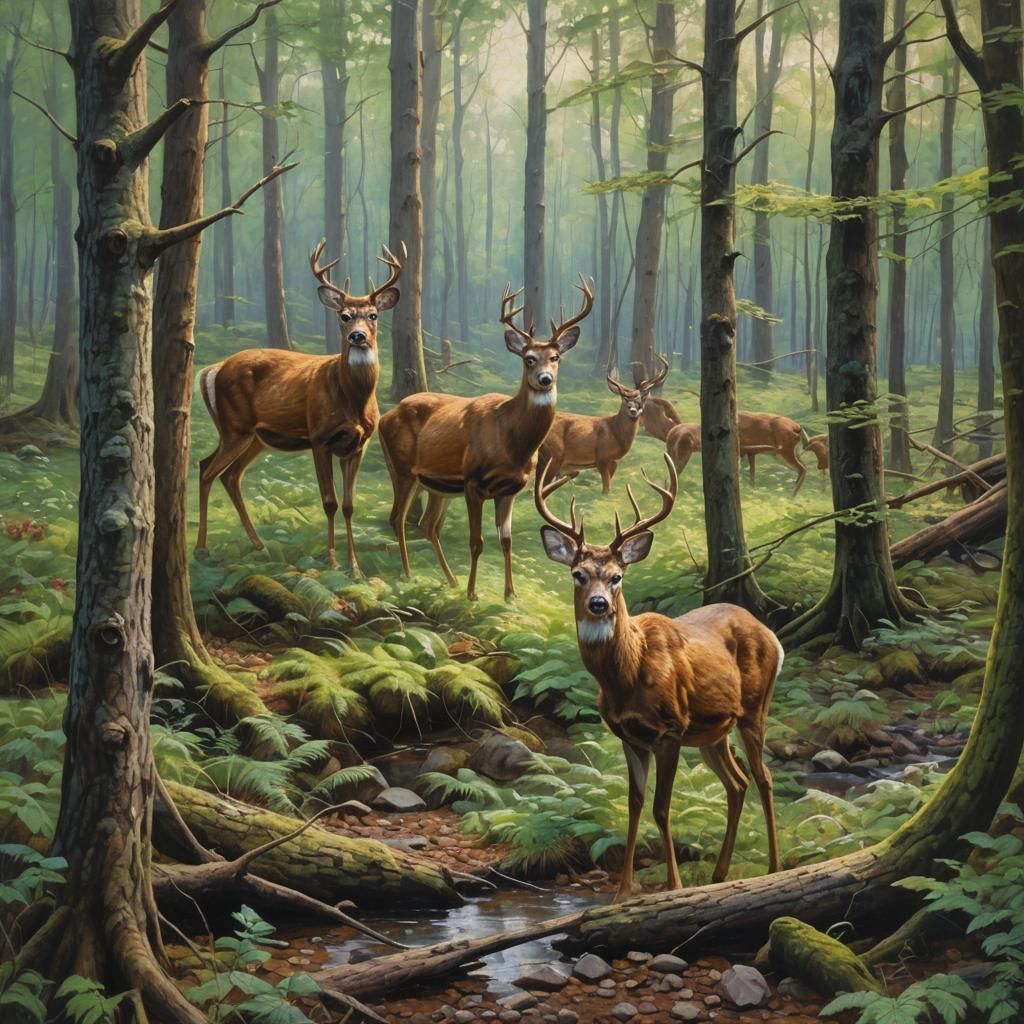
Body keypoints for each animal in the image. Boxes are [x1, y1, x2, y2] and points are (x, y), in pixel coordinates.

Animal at [195, 241, 404, 574]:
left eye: (373, 315)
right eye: (344, 315)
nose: (357, 336)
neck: (353, 400)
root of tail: (212, 370)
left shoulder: (359, 445)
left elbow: (349, 505)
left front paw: (355, 566)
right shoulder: (319, 437)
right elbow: (329, 502)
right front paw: (333, 561)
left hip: (256, 438)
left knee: (229, 475)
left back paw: (258, 544)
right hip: (234, 427)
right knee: (206, 470)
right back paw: (201, 547)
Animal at [379, 275, 594, 602]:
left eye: (556, 357)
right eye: (529, 359)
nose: (545, 379)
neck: (512, 442)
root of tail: (383, 418)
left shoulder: (511, 489)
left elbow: (506, 541)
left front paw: (510, 594)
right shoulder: (473, 482)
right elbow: (476, 540)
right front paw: (472, 593)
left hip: (437, 485)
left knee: (428, 525)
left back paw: (450, 580)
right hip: (401, 468)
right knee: (397, 518)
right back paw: (410, 574)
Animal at [535, 455, 783, 901]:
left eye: (617, 576)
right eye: (578, 574)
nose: (599, 604)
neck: (626, 677)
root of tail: (769, 632)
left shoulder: (671, 728)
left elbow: (661, 807)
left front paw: (673, 885)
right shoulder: (630, 736)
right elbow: (635, 804)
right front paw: (622, 893)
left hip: (754, 708)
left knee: (764, 777)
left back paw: (773, 867)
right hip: (713, 731)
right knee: (737, 783)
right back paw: (719, 873)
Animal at [538, 354, 669, 494]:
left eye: (640, 399)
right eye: (624, 398)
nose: (632, 410)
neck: (616, 432)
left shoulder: (612, 461)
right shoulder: (601, 457)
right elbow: (606, 487)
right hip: (554, 454)